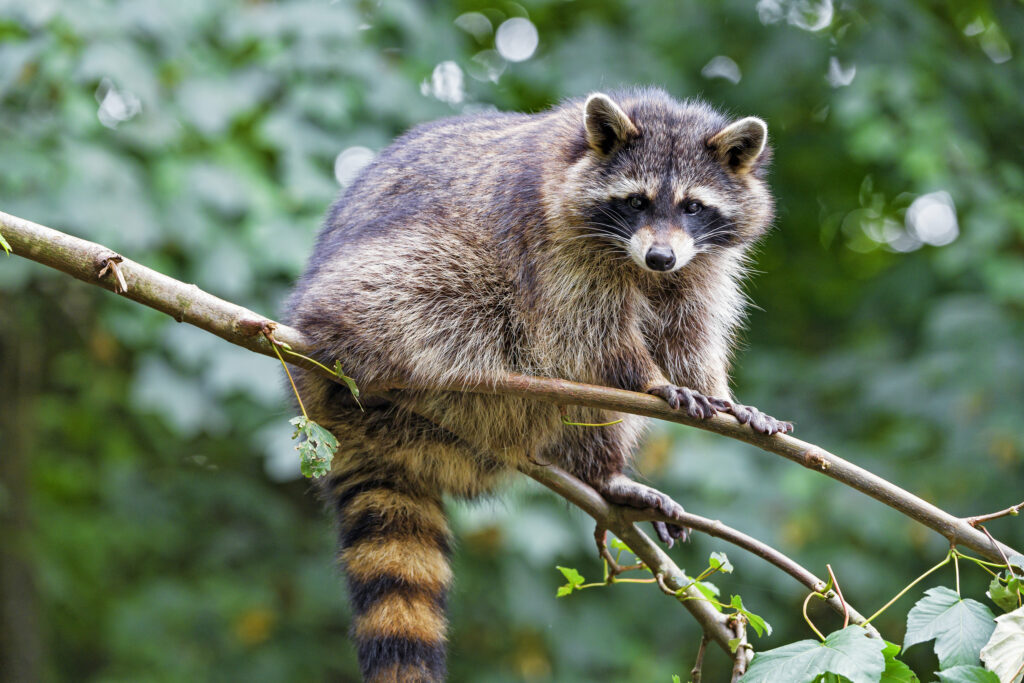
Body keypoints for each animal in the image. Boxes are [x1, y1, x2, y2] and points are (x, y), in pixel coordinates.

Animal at [286, 87, 791, 682]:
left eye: (693, 206)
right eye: (636, 202)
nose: (660, 256)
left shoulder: (700, 266)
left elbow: (691, 334)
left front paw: (720, 395)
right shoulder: (553, 245)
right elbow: (585, 333)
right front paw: (648, 378)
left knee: (593, 415)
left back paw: (602, 473)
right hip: (375, 290)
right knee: (439, 294)